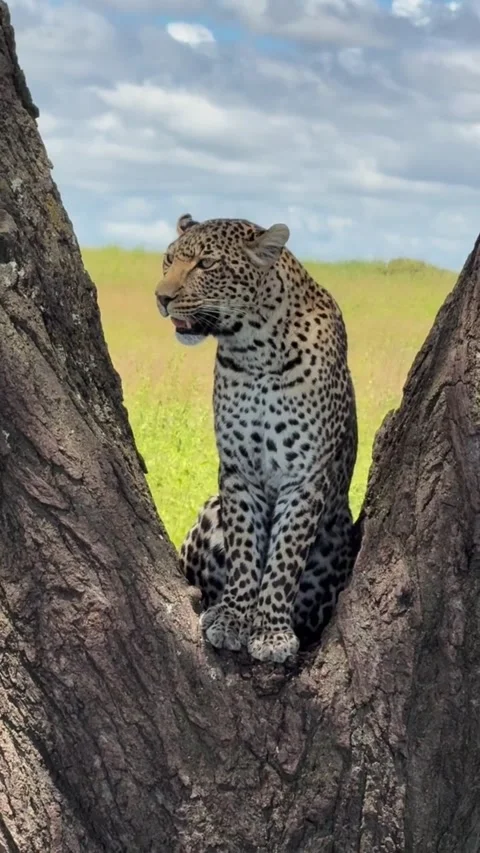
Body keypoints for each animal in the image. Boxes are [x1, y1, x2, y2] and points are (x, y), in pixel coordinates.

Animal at [155, 213, 358, 664]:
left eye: (206, 264)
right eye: (169, 260)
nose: (161, 298)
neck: (255, 350)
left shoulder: (303, 477)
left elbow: (283, 558)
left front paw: (271, 633)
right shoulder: (238, 472)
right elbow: (246, 550)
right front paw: (233, 620)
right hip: (210, 509)